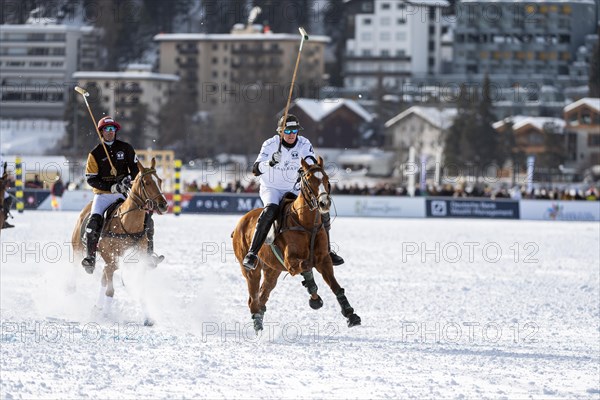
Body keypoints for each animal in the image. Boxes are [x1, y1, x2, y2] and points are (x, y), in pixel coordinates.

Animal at [71, 157, 168, 322]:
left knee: (103, 278)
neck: (127, 224)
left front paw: (148, 318)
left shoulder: (140, 258)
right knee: (78, 270)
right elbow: (110, 289)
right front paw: (106, 315)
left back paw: (97, 307)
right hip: (78, 249)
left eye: (160, 180)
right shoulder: (109, 256)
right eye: (147, 182)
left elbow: (139, 287)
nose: (163, 205)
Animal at [231, 156, 360, 332]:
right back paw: (258, 326)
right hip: (251, 270)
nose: (324, 204)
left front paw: (350, 314)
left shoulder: (324, 259)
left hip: (272, 270)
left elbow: (335, 285)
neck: (306, 223)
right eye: (308, 179)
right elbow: (306, 266)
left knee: (263, 296)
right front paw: (314, 297)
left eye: (326, 178)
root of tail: (240, 223)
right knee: (253, 299)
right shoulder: (290, 261)